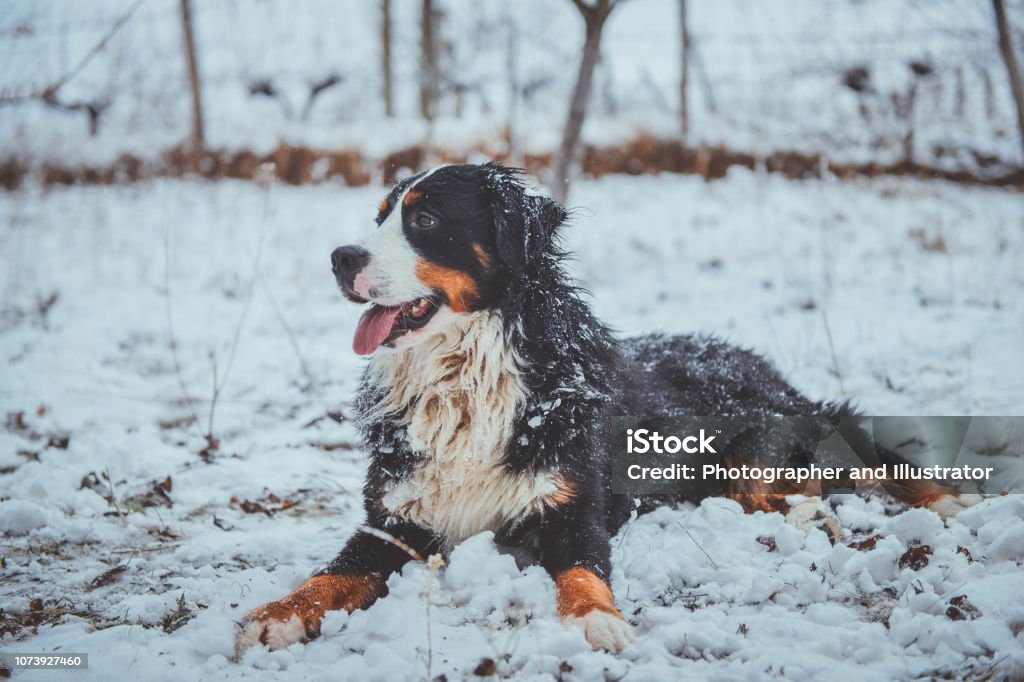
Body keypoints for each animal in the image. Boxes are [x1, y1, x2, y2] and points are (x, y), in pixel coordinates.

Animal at [232, 159, 974, 655]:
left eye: (425, 219)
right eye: (380, 216)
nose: (339, 257)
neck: (468, 379)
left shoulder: (571, 506)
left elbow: (584, 573)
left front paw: (597, 623)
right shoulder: (395, 519)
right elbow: (330, 575)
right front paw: (275, 613)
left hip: (761, 443)